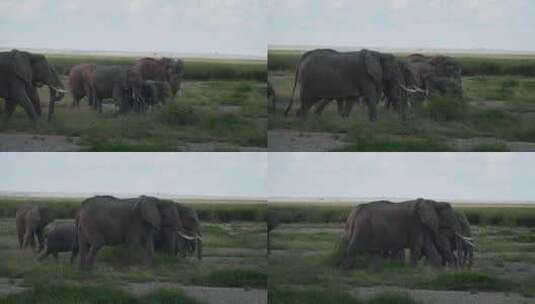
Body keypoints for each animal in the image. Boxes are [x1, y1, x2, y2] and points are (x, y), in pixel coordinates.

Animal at [342, 200, 472, 268]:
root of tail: (354, 213)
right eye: (450, 218)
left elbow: (429, 248)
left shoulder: (423, 227)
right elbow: (417, 247)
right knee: (352, 249)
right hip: (362, 228)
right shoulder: (415, 224)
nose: (462, 267)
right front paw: (412, 271)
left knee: (374, 254)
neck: (433, 202)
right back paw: (345, 271)